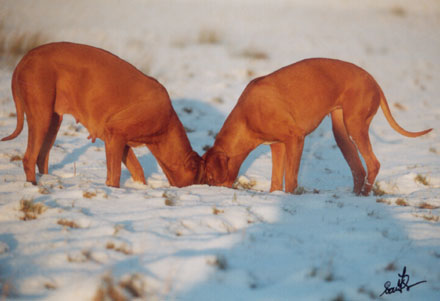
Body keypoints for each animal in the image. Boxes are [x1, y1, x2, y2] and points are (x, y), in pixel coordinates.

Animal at [2, 41, 202, 188]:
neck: (166, 122)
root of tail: (25, 59)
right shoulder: (116, 135)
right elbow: (115, 176)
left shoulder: (117, 140)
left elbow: (138, 171)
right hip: (41, 117)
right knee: (29, 158)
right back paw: (33, 186)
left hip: (53, 121)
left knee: (41, 157)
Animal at [204, 57, 434, 195]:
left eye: (210, 177)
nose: (211, 192)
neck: (246, 115)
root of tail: (373, 79)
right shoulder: (277, 145)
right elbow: (276, 182)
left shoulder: (295, 138)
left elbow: (291, 180)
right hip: (341, 132)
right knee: (359, 169)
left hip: (355, 126)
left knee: (373, 164)